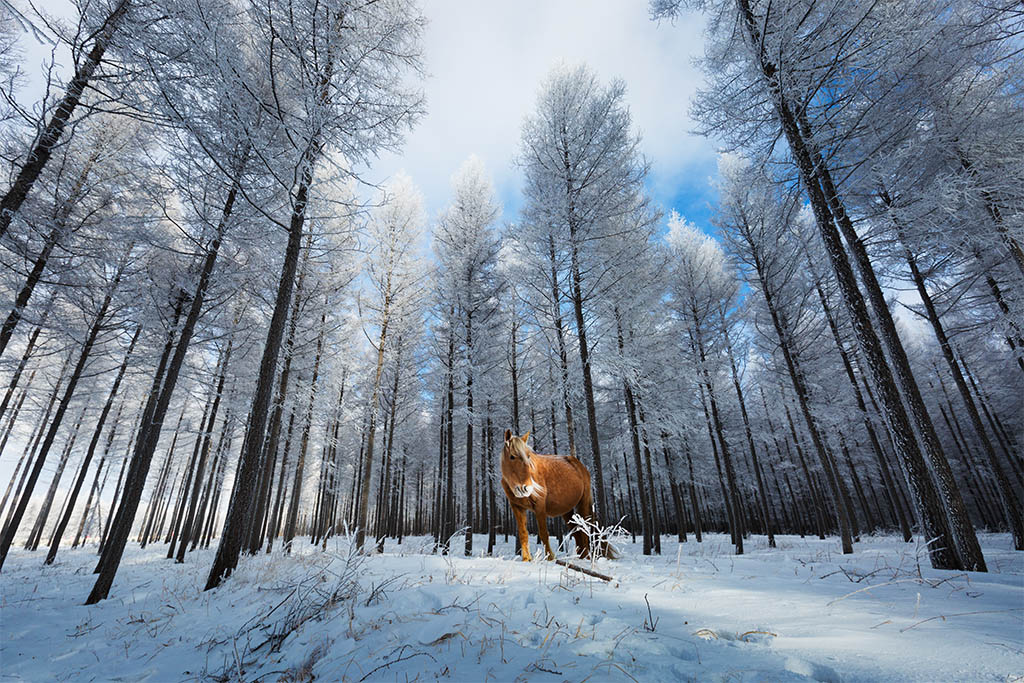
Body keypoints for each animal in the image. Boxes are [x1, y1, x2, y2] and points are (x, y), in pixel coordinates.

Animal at [497, 432, 602, 561]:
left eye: (528, 456)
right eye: (512, 456)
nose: (526, 488)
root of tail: (580, 465)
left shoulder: (540, 506)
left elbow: (543, 533)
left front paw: (550, 557)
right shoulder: (517, 507)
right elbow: (523, 533)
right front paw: (526, 559)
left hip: (583, 503)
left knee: (584, 529)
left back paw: (586, 557)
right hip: (566, 511)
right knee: (576, 531)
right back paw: (581, 556)